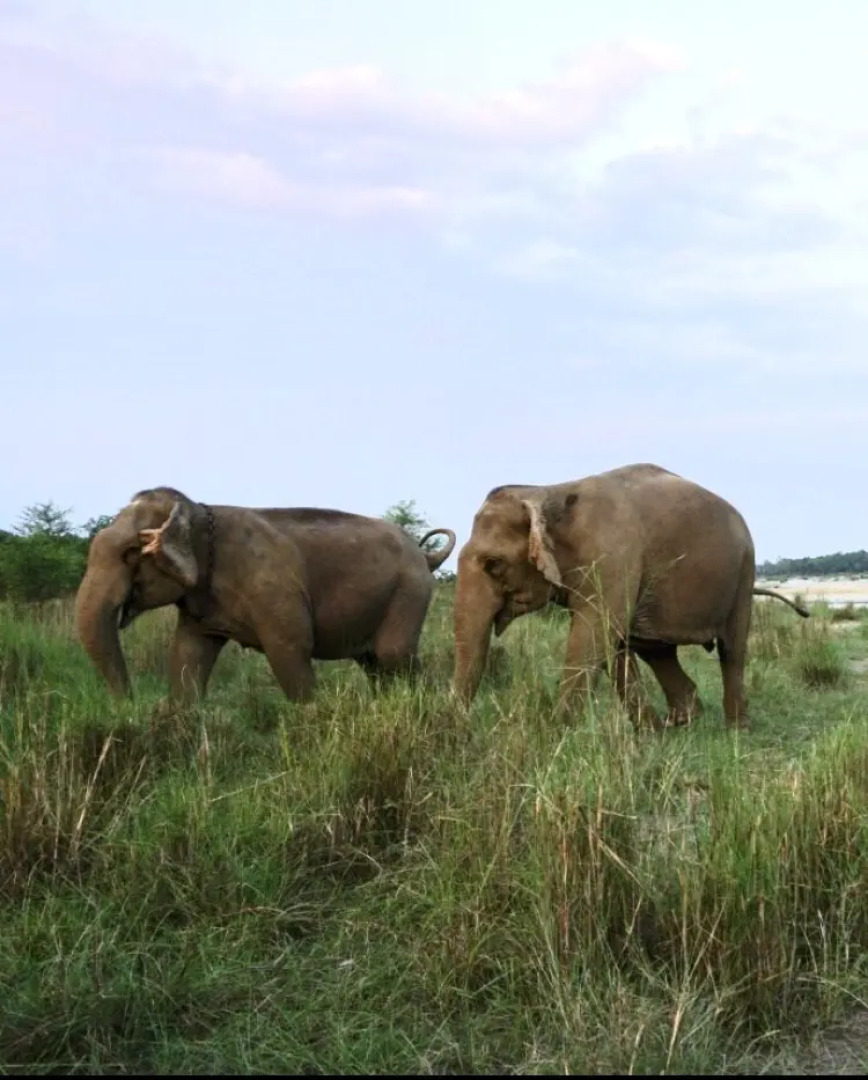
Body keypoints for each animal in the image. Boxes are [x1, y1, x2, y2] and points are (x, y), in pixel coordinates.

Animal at [75, 486, 456, 703]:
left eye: (130, 553)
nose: (130, 704)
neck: (198, 510)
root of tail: (424, 555)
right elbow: (188, 655)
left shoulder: (274, 587)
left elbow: (290, 650)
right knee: (373, 662)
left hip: (410, 591)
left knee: (394, 655)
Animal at [452, 463, 809, 730]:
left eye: (493, 564)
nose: (462, 726)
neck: (546, 491)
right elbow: (612, 642)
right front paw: (649, 735)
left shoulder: (614, 556)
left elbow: (593, 635)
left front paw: (556, 734)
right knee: (656, 650)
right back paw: (681, 723)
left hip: (743, 571)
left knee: (731, 649)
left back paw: (735, 729)